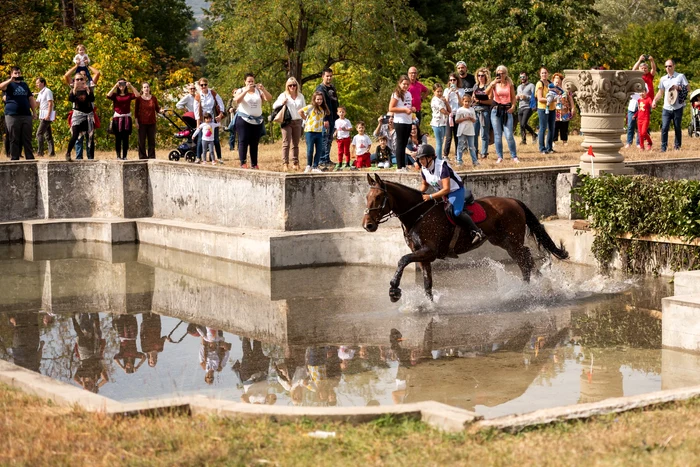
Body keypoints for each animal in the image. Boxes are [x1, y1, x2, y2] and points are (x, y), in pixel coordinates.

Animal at [360, 174, 568, 302]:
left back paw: (535, 287)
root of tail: (513, 200)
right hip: (503, 241)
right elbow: (427, 282)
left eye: (378, 197)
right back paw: (530, 287)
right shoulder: (423, 255)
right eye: (367, 197)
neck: (418, 214)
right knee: (523, 259)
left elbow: (402, 260)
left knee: (525, 258)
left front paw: (394, 291)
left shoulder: (429, 251)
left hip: (513, 240)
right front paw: (428, 305)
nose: (367, 225)